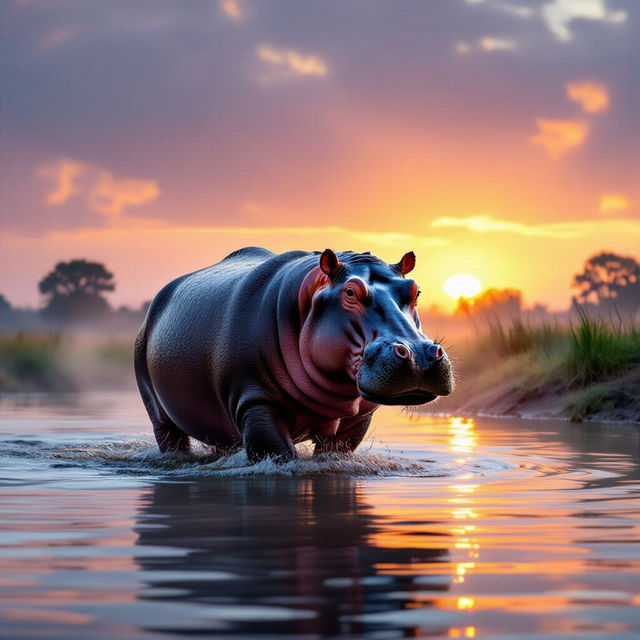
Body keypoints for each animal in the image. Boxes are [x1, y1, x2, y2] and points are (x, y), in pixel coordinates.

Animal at [134, 248, 453, 462]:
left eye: (415, 290)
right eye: (350, 292)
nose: (419, 356)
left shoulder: (357, 419)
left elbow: (337, 452)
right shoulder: (257, 403)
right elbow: (279, 453)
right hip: (158, 410)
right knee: (170, 438)